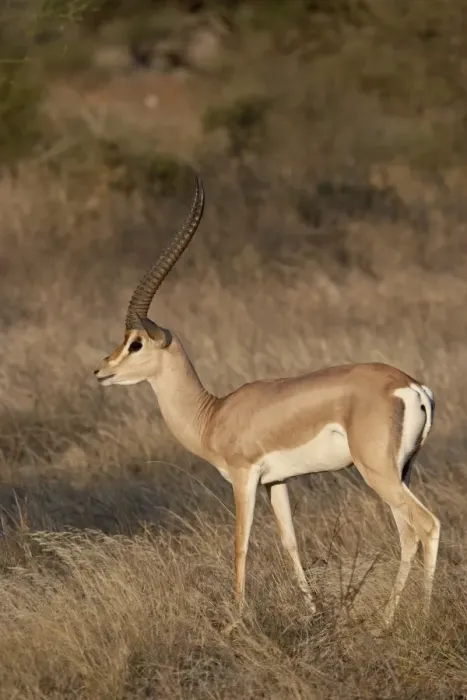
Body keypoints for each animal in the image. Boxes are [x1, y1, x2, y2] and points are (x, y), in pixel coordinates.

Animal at [94, 174, 439, 627]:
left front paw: (235, 621)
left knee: (426, 525)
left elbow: (240, 544)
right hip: (401, 472)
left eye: (135, 343)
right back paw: (386, 621)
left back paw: (416, 617)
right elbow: (290, 541)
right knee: (408, 533)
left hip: (378, 472)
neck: (214, 414)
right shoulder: (278, 482)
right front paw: (313, 612)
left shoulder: (244, 477)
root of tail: (411, 387)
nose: (101, 370)